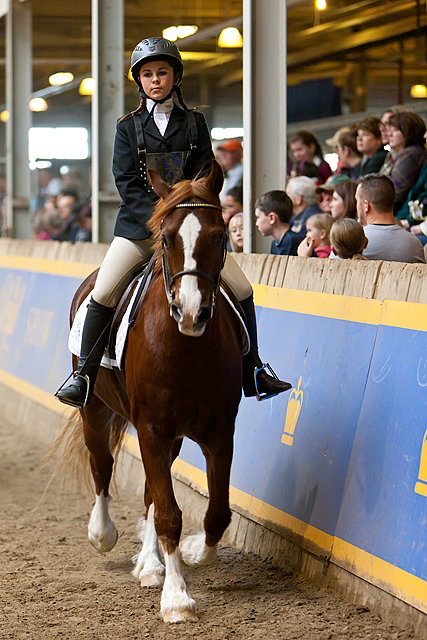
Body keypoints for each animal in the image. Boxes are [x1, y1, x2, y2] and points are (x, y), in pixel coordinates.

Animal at [56, 159, 244, 620]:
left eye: (219, 236)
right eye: (166, 237)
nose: (192, 312)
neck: (187, 350)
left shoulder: (218, 433)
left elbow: (215, 513)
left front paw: (191, 554)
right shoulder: (152, 430)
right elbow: (169, 515)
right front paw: (177, 599)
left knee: (149, 494)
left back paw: (149, 565)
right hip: (95, 411)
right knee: (102, 465)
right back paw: (102, 533)